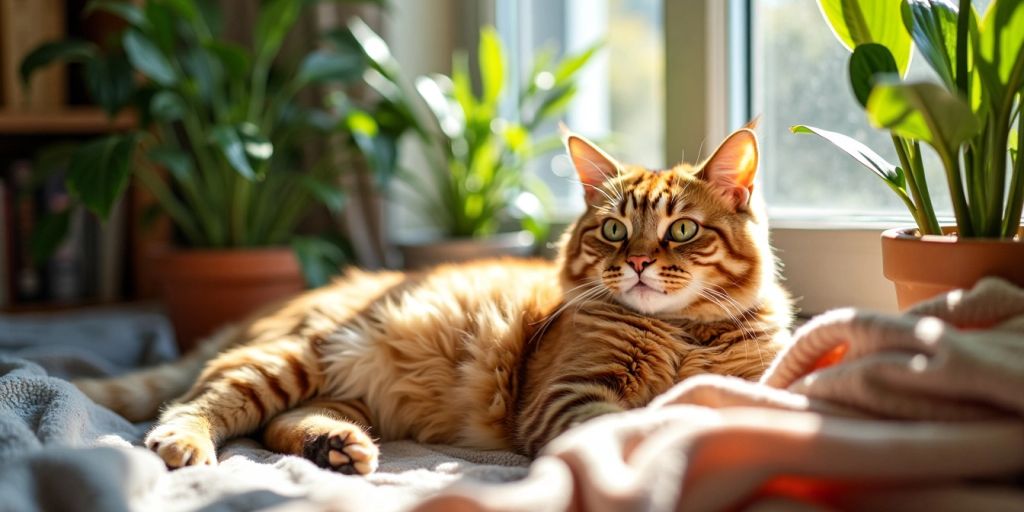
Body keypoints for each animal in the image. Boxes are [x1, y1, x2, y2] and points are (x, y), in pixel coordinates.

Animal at [75, 125, 790, 473]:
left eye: (682, 231)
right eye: (614, 230)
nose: (637, 262)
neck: (684, 335)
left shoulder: (757, 376)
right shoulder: (569, 395)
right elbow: (632, 421)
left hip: (337, 386)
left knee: (280, 424)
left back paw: (335, 448)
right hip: (295, 356)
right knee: (197, 403)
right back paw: (186, 444)